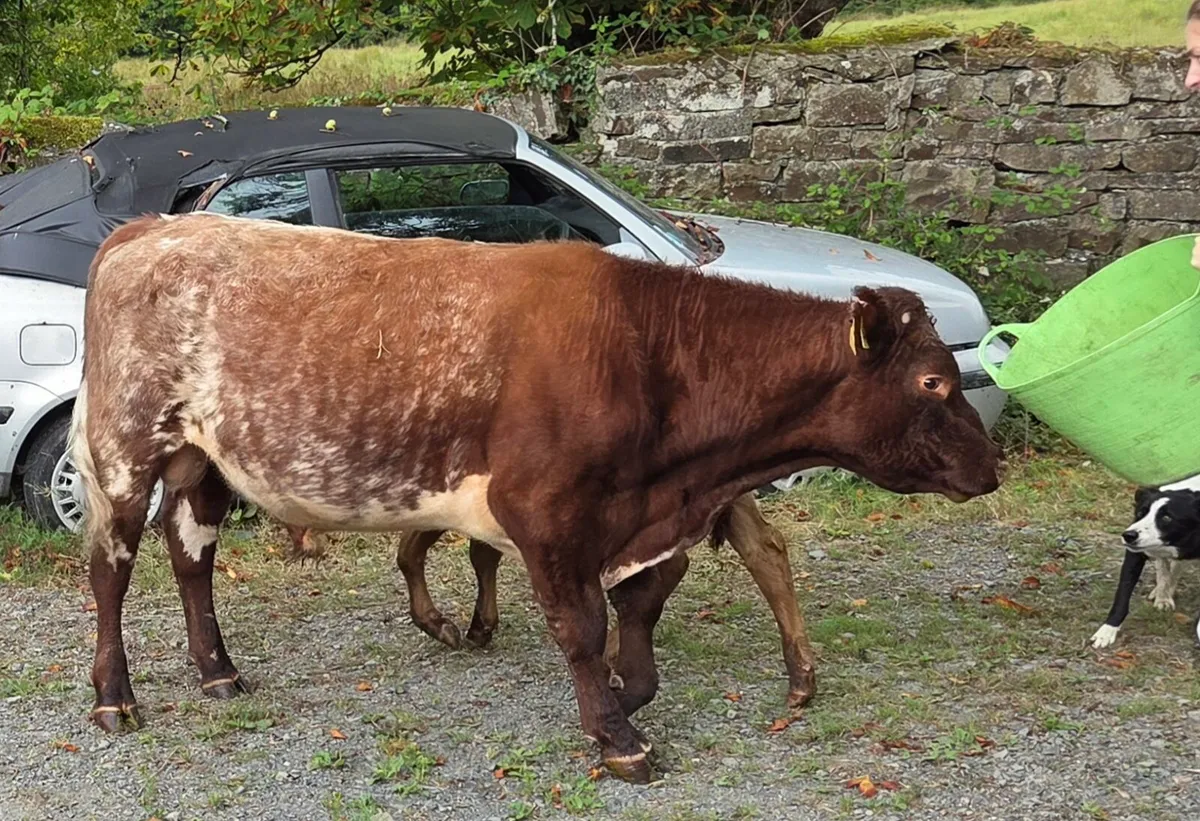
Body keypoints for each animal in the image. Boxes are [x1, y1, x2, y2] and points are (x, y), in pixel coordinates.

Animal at [71, 212, 1002, 784]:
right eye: (931, 380)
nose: (991, 466)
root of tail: (154, 227)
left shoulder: (640, 519)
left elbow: (639, 611)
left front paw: (625, 694)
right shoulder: (545, 512)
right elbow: (582, 625)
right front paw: (620, 738)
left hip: (202, 462)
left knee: (191, 560)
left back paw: (218, 672)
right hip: (126, 450)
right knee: (112, 568)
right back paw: (115, 696)